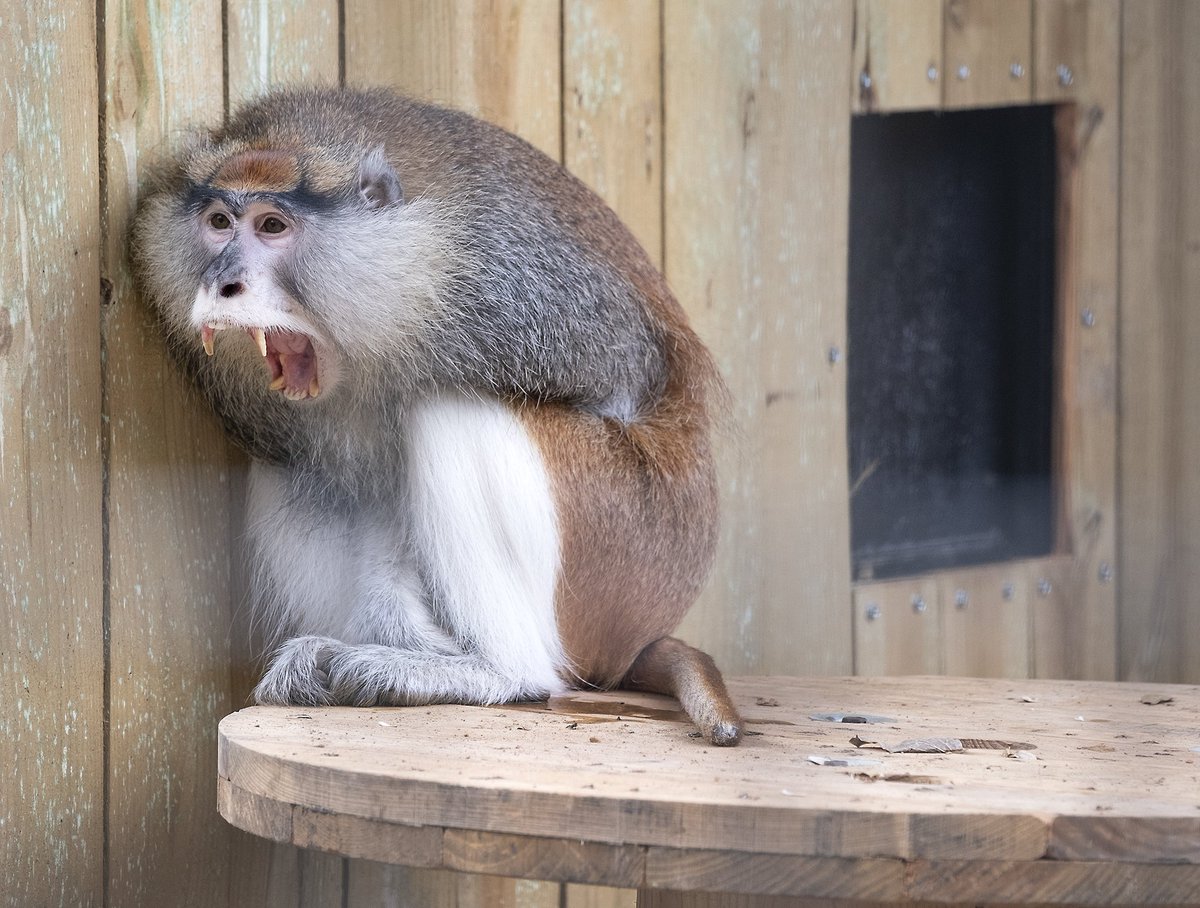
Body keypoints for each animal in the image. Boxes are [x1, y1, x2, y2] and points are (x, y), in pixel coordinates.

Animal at [131, 86, 743, 745]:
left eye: (272, 225)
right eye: (219, 222)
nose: (223, 283)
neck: (406, 253)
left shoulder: (508, 292)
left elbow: (618, 376)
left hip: (627, 542)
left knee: (449, 404)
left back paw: (498, 671)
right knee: (299, 465)